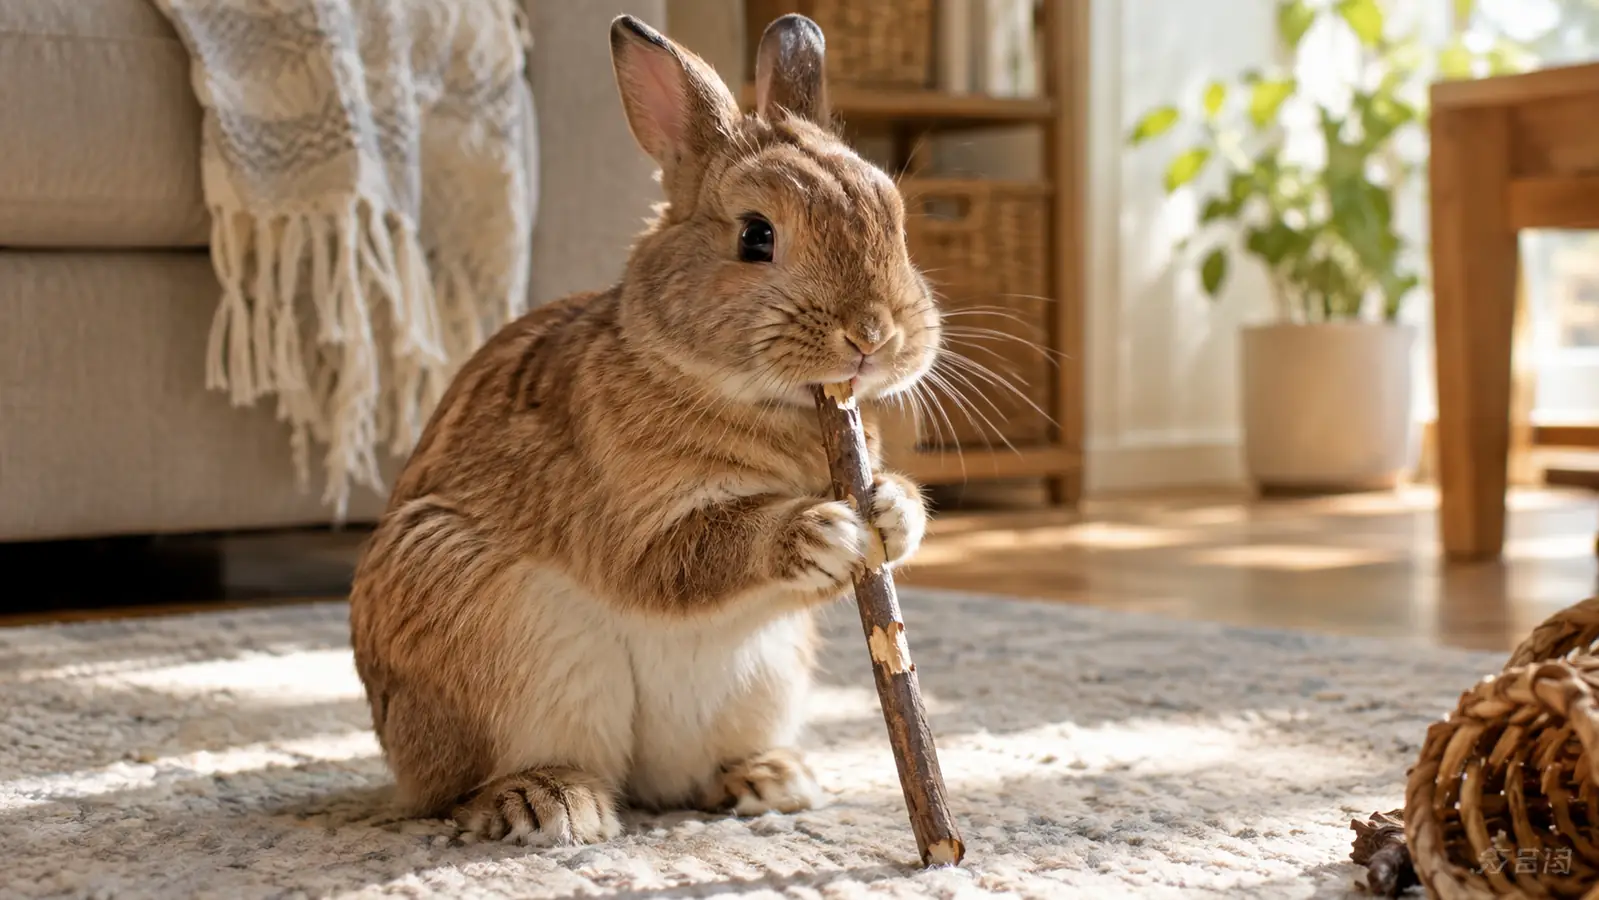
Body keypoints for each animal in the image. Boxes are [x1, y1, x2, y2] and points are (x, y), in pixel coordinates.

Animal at [347, 11, 942, 847]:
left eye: (894, 216)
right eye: (756, 237)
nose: (873, 336)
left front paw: (892, 510)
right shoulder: (632, 526)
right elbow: (692, 556)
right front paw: (820, 529)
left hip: (763, 679)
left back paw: (771, 779)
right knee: (457, 791)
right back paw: (548, 803)